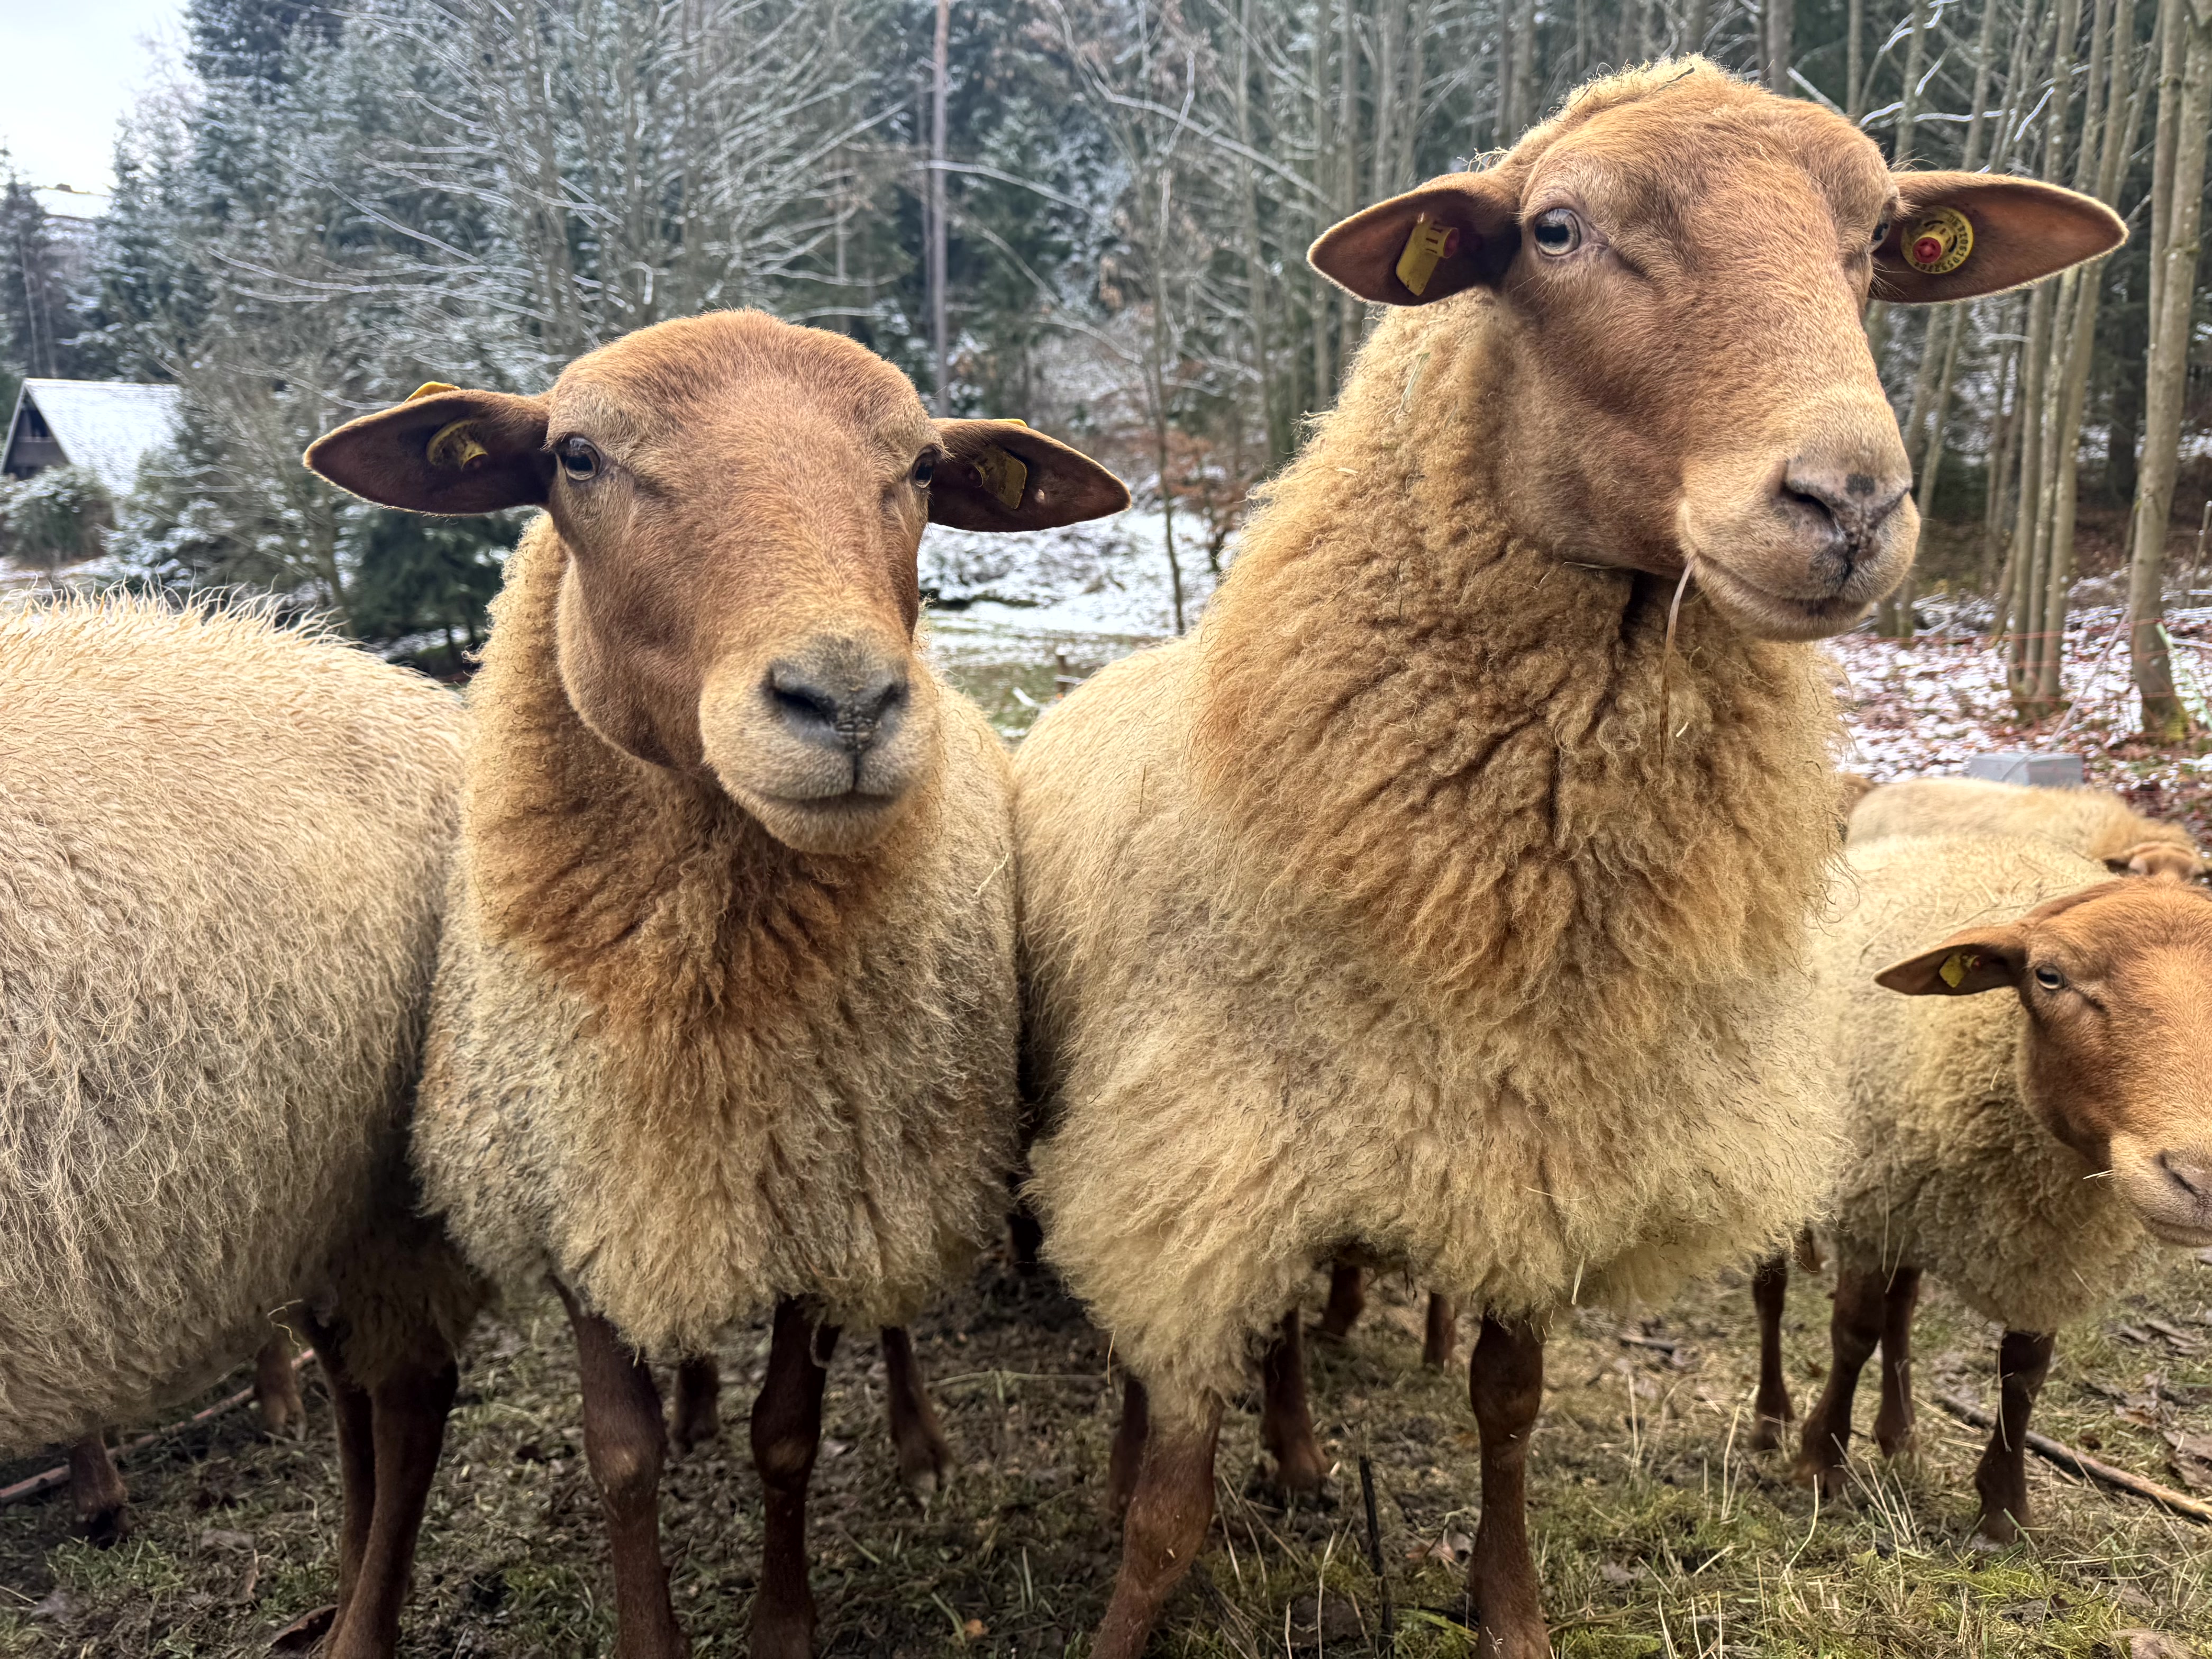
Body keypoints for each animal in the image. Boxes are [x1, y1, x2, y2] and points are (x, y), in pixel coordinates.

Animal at [0, 597, 483, 1659]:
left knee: (410, 1390)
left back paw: (361, 1629)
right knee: (353, 1383)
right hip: (294, 1206)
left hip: (387, 1192)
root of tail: (419, 700)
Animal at [302, 308, 1129, 1659]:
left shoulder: (830, 1194)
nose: (845, 701)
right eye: (576, 455)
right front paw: (655, 1610)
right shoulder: (574, 1184)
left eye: (920, 468)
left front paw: (781, 1620)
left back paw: (914, 1437)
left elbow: (786, 1433)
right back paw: (693, 1394)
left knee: (890, 1307)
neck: (695, 981)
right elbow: (621, 1454)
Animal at [1012, 61, 2123, 1659]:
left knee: (1282, 1341)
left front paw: (1509, 1609)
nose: (1849, 501)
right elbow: (1170, 1483)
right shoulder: (1199, 1162)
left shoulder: (1538, 1143)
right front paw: (1129, 1589)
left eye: (1876, 245)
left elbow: (1507, 1405)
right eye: (1553, 229)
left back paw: (1297, 1457)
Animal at [1754, 833, 2212, 1542]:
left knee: (1902, 1309)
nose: (2200, 1178)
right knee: (1772, 1293)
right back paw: (1768, 1420)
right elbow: (1851, 1333)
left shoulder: (2040, 1257)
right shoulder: (1867, 1211)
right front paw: (1819, 1463)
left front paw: (2001, 1509)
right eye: (2047, 976)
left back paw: (1899, 1435)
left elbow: (2022, 1374)